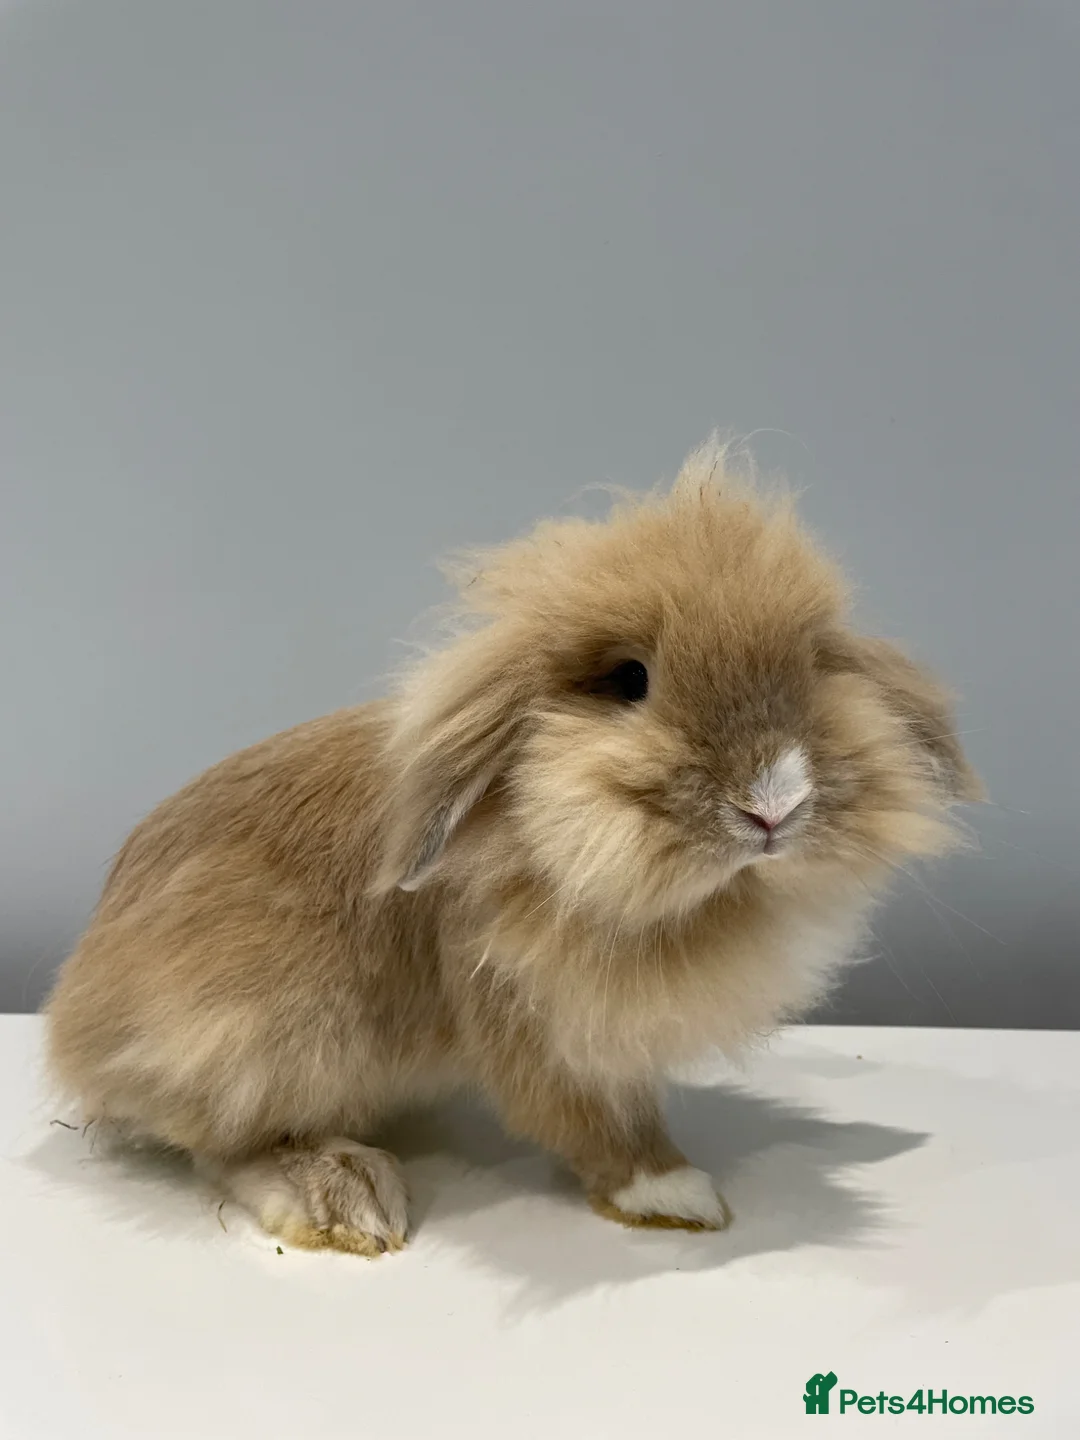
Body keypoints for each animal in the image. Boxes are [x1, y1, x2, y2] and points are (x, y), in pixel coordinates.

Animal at [45, 440, 982, 1256]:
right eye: (630, 680)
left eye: (814, 664)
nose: (773, 803)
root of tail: (77, 1027)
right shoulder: (534, 1021)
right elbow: (597, 1120)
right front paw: (679, 1194)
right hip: (260, 1034)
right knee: (221, 1142)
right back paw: (348, 1194)